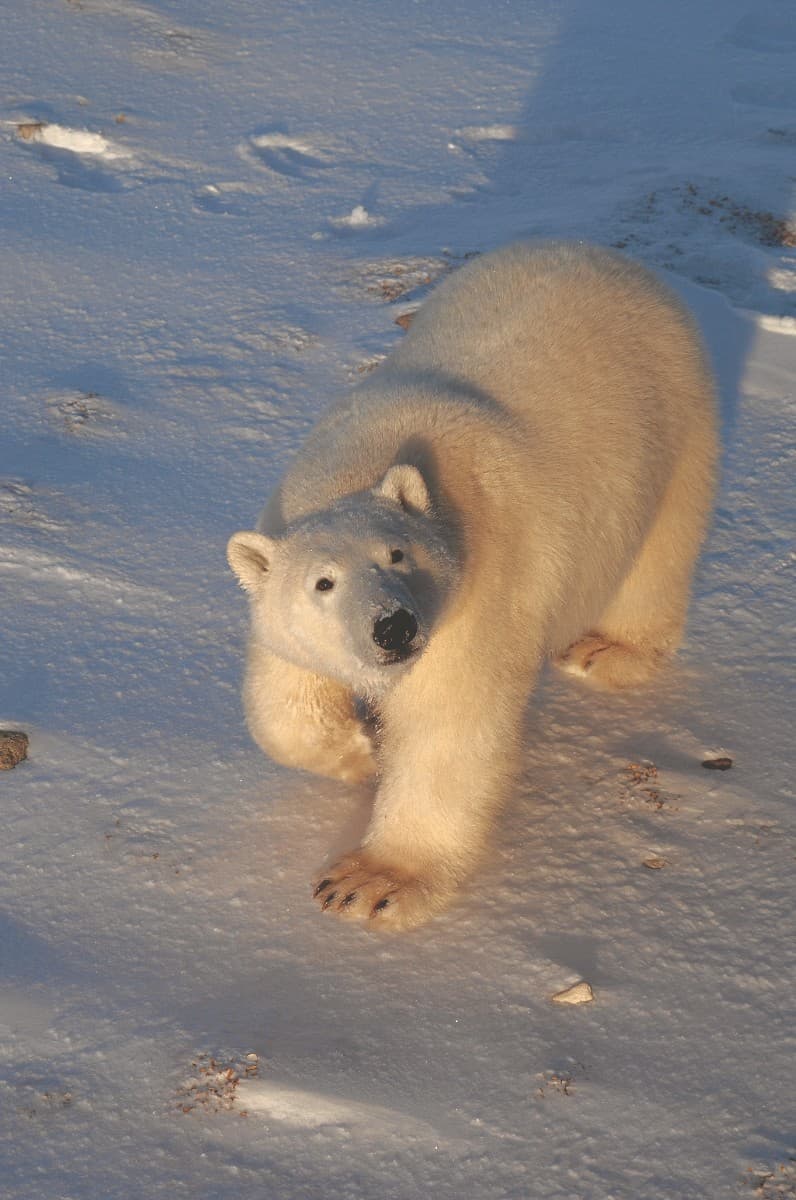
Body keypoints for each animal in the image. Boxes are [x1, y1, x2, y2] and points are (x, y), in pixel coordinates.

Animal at [227, 241, 718, 931]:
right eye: (323, 583)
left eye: (398, 553)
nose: (393, 627)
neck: (366, 462)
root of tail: (602, 255)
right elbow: (284, 698)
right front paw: (362, 754)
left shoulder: (477, 596)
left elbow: (449, 728)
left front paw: (367, 883)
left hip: (673, 422)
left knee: (657, 556)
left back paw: (605, 649)